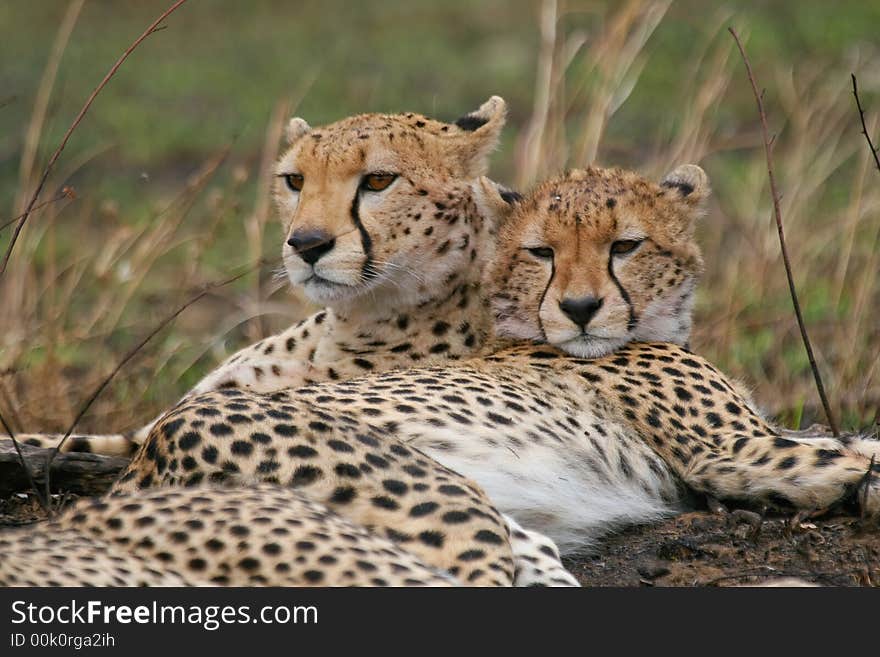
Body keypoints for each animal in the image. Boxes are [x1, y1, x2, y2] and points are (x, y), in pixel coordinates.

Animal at [118, 163, 880, 552]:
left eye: (625, 246)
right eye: (541, 252)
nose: (580, 309)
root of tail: (149, 453)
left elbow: (848, 437)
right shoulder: (734, 451)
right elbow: (854, 453)